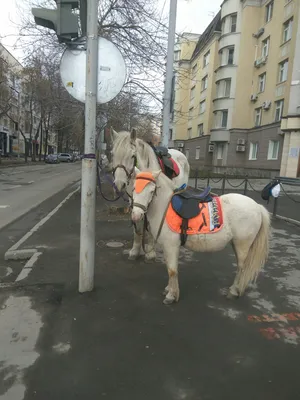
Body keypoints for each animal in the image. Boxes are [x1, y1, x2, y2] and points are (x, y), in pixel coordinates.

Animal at [110, 128, 190, 262]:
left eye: (132, 156)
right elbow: (137, 228)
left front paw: (150, 252)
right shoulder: (135, 202)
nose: (119, 184)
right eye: (113, 154)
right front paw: (135, 250)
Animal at [132, 168, 270, 304]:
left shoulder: (171, 245)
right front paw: (169, 289)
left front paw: (171, 295)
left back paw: (233, 291)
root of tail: (257, 207)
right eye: (133, 188)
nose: (136, 215)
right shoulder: (168, 247)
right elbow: (170, 269)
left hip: (242, 245)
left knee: (241, 267)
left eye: (151, 191)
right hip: (236, 244)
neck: (164, 207)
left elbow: (172, 270)